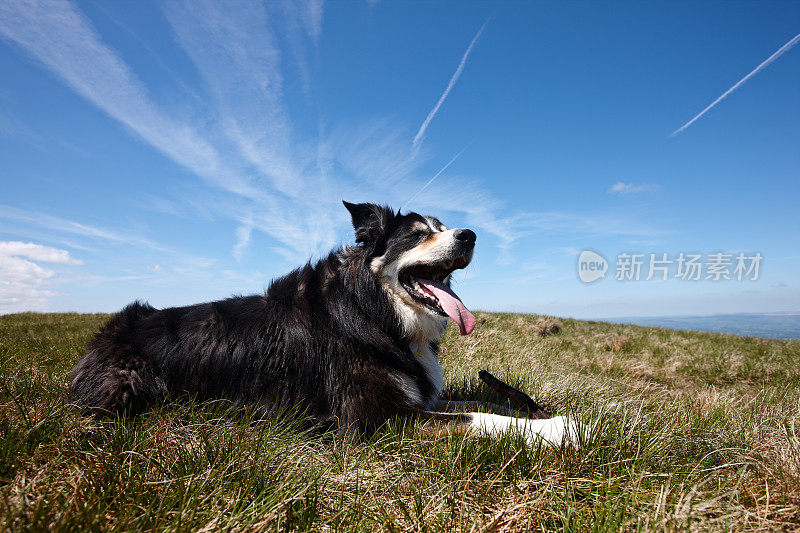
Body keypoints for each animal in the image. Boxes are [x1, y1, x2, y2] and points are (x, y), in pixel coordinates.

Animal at [69, 203, 580, 444]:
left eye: (444, 226)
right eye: (418, 235)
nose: (470, 235)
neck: (371, 310)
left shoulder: (419, 398)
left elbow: (478, 402)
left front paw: (541, 415)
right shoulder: (376, 419)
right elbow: (480, 417)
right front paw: (563, 429)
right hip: (130, 387)